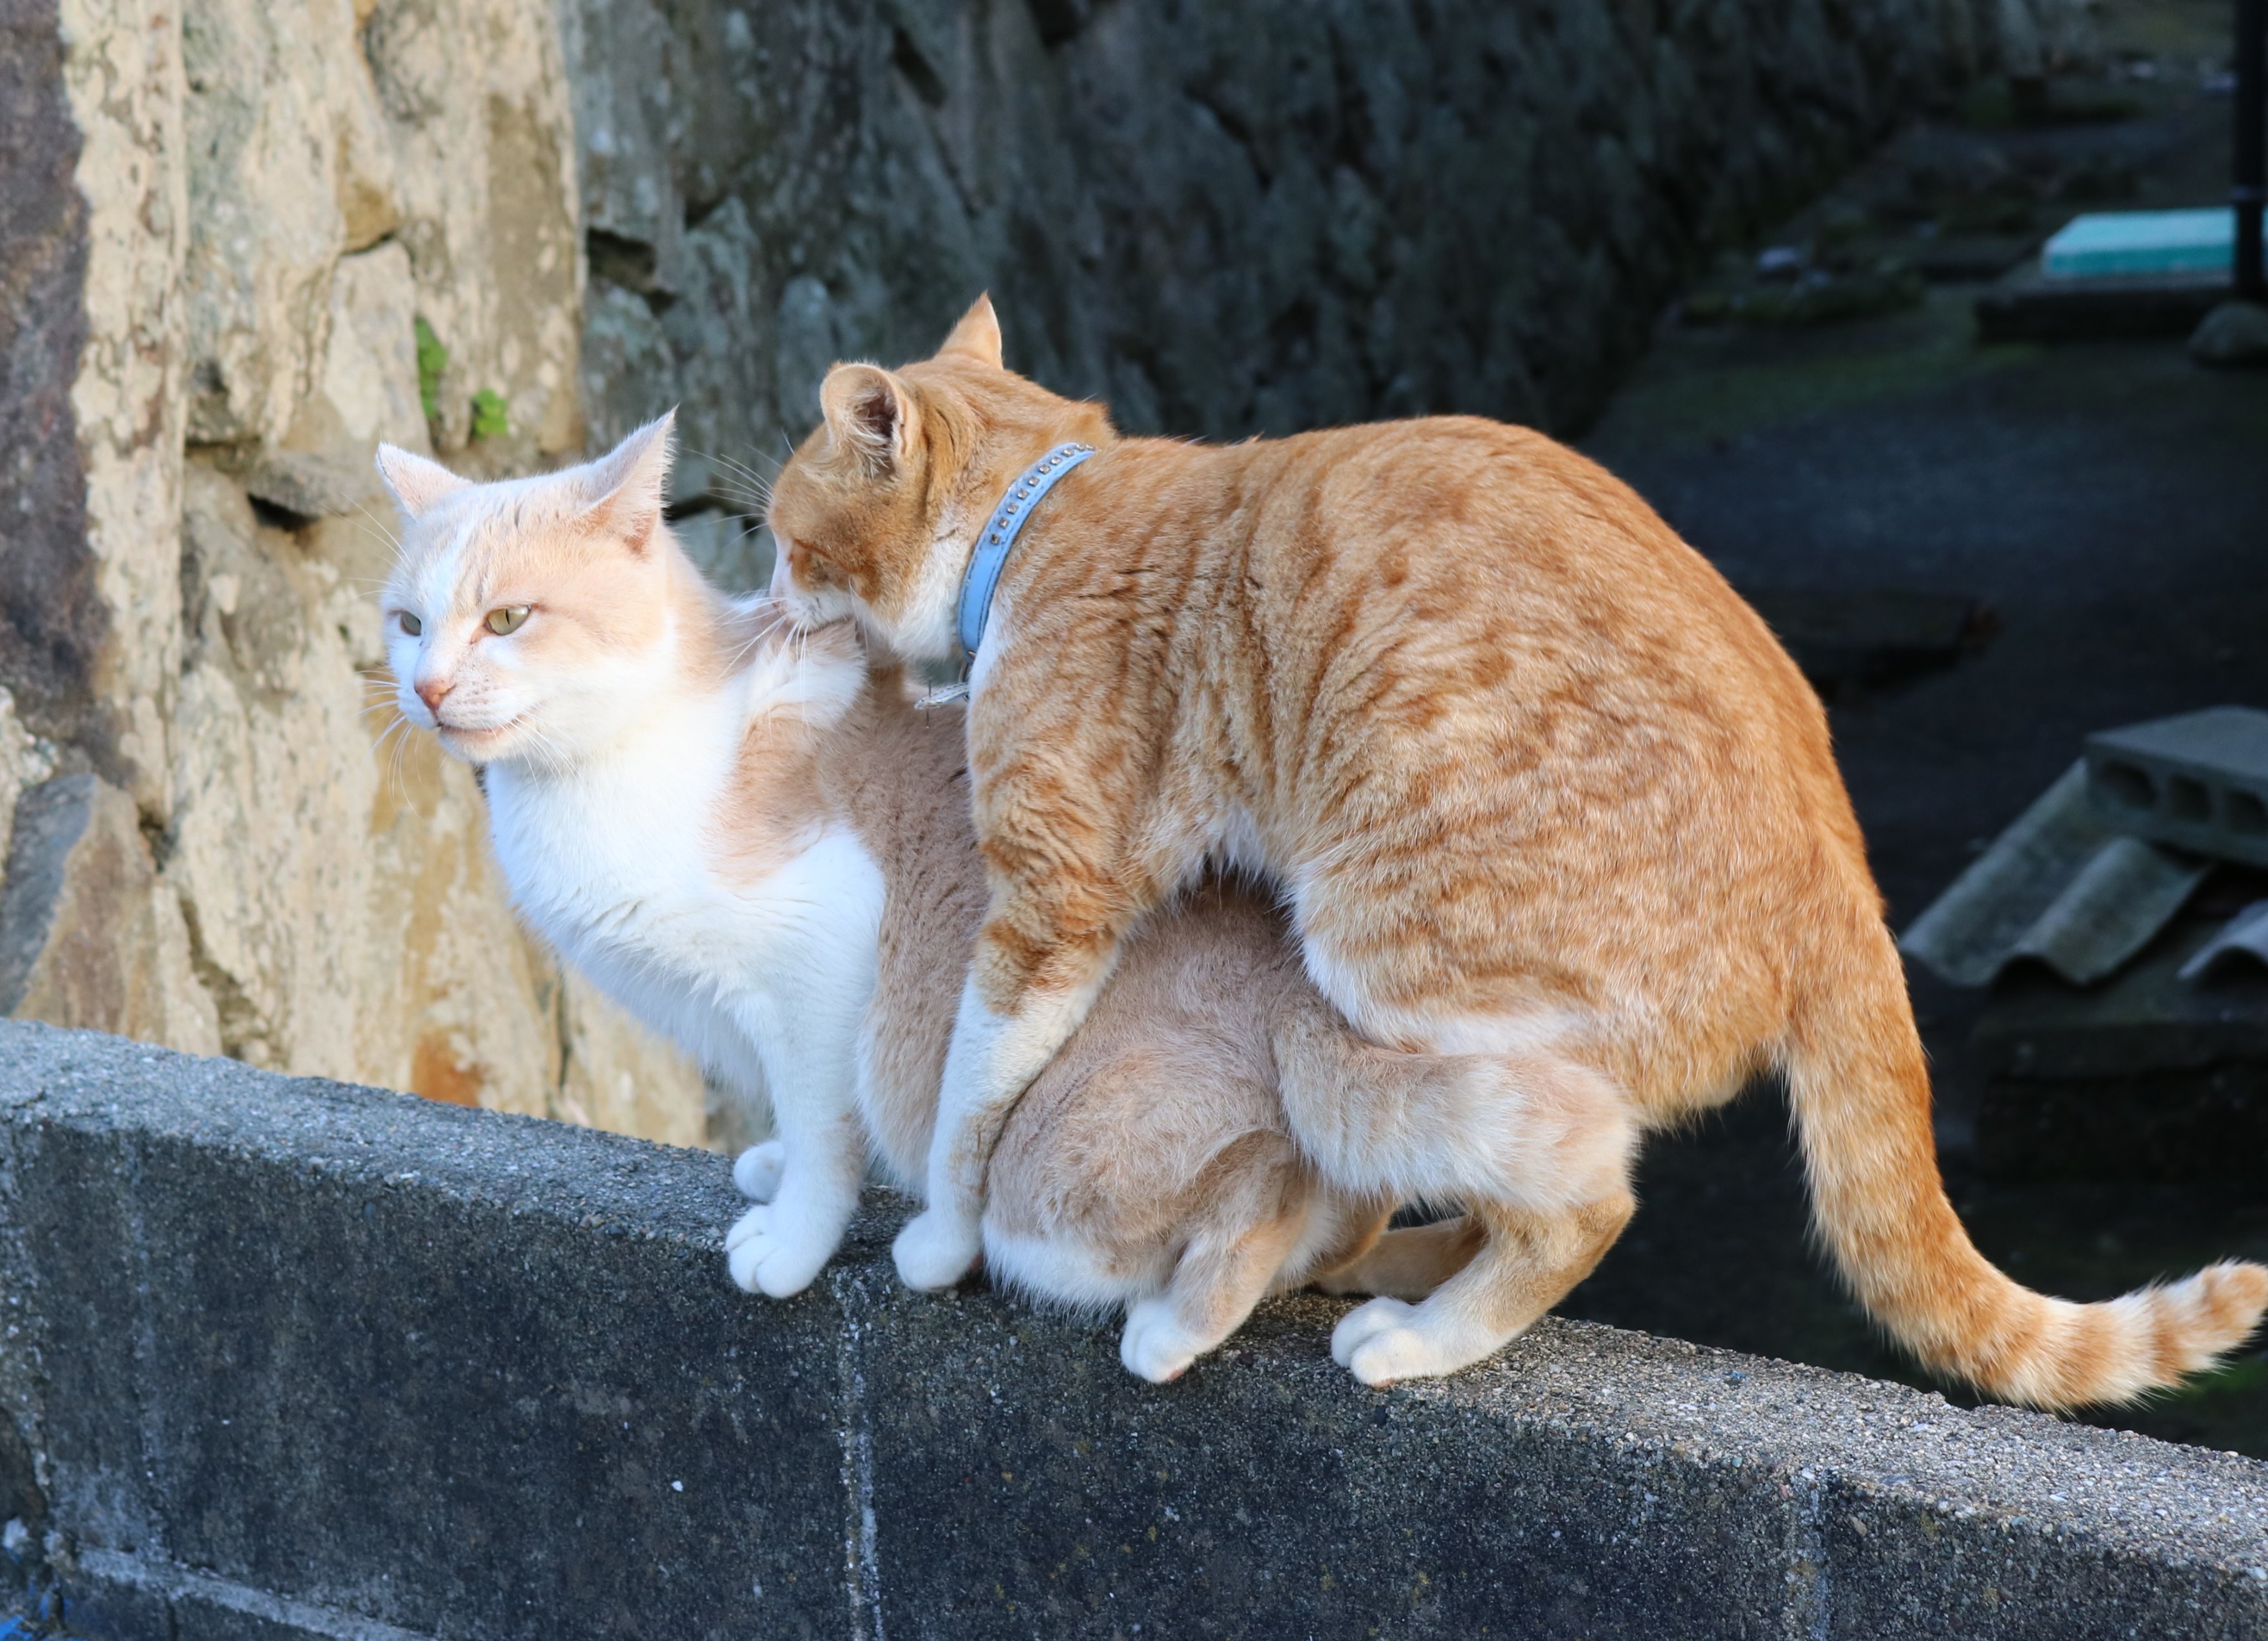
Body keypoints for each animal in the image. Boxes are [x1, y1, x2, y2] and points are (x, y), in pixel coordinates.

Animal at [376, 417, 1615, 1378]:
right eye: (408, 623)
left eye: (506, 620)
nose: (427, 687)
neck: (608, 768)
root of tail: (1301, 983)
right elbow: (791, 1115)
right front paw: (769, 1166)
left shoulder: (822, 957)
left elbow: (822, 1125)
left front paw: (790, 1236)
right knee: (1347, 1218)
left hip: (1047, 1183)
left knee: (1264, 1187)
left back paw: (1182, 1326)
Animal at [766, 299, 2268, 1414]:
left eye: (781, 536)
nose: (773, 601)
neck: (1035, 517)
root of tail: (1844, 883)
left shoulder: (1049, 908)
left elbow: (969, 1101)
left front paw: (939, 1238)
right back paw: (1390, 1268)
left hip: (1377, 951)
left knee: (1581, 1194)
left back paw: (1422, 1331)